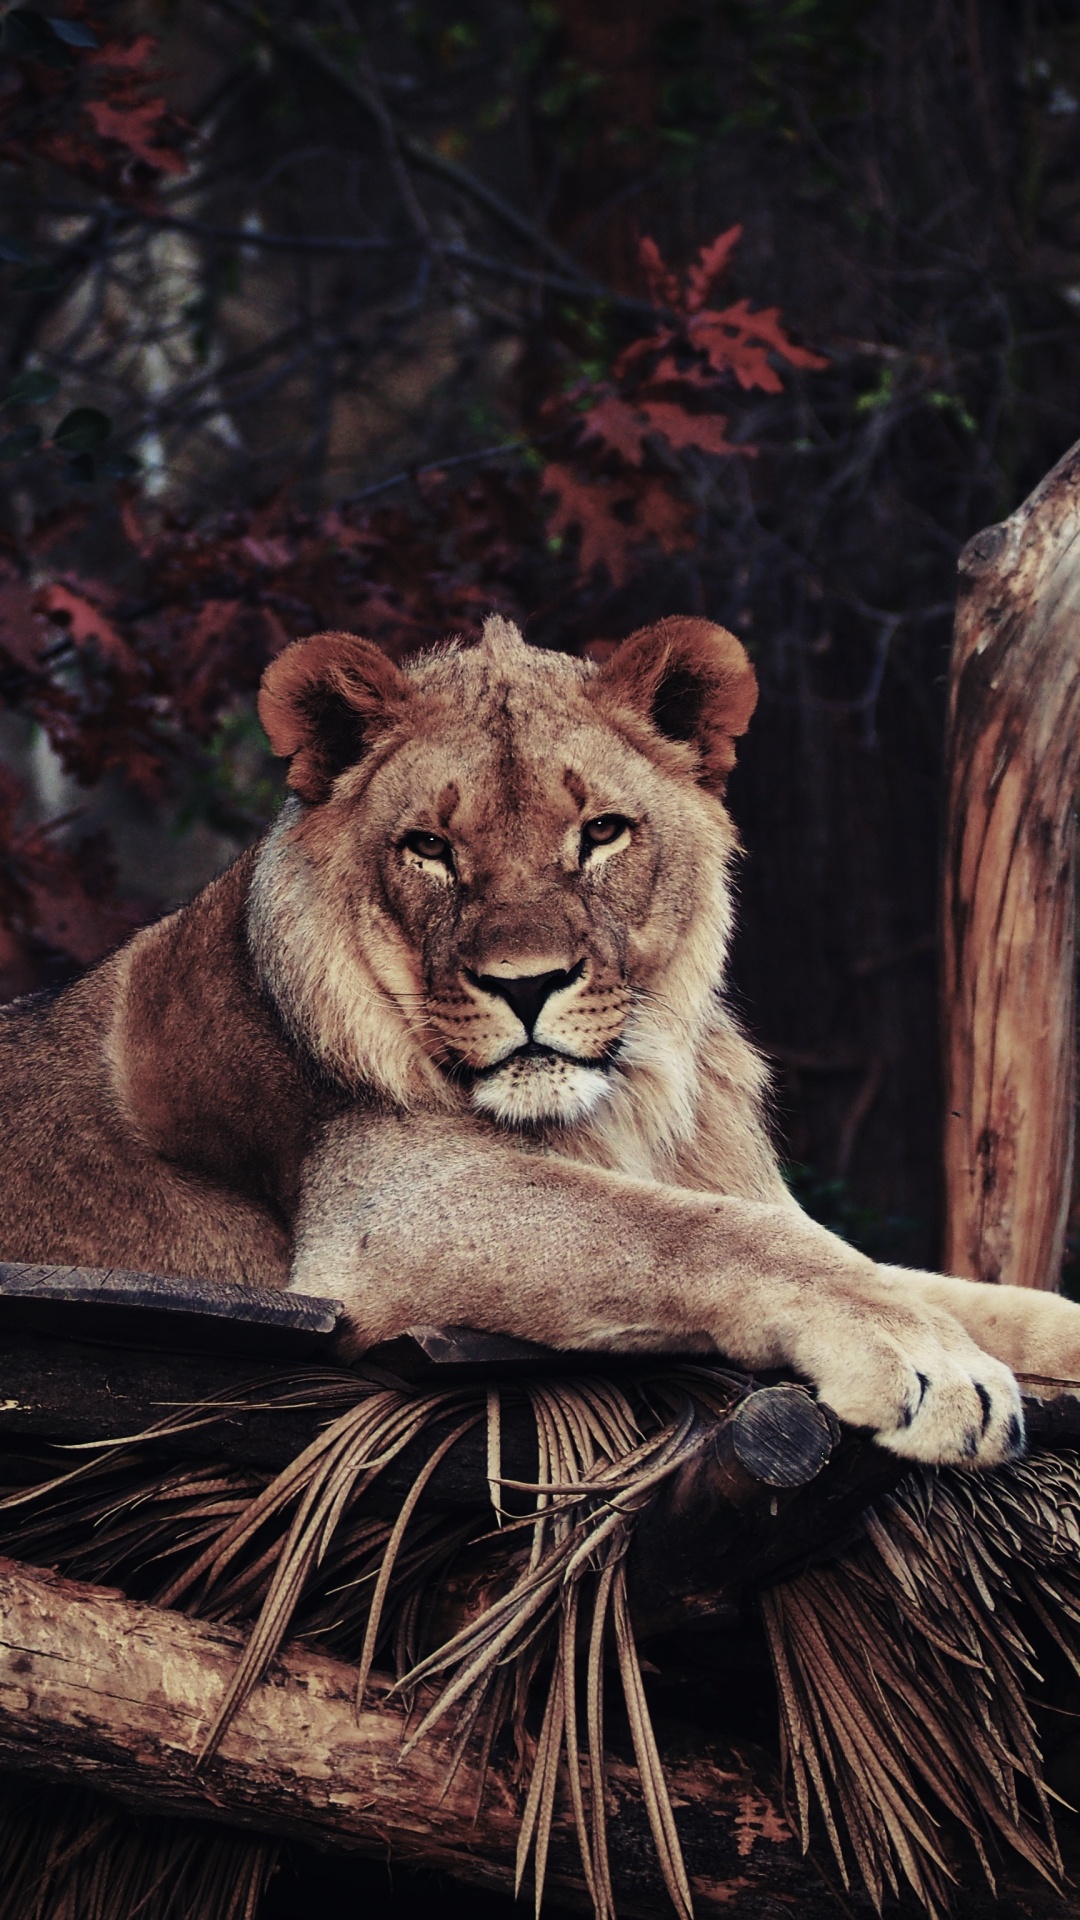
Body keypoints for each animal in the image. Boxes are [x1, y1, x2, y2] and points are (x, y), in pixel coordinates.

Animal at [3, 612, 1079, 1468]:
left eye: (602, 832)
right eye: (429, 849)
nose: (527, 985)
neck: (626, 1105)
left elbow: (950, 1284)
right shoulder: (385, 1215)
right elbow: (706, 1231)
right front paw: (935, 1368)